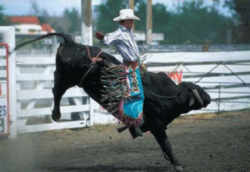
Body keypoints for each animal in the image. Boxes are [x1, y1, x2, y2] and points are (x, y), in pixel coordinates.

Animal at [14, 33, 211, 171]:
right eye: (200, 91)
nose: (209, 97)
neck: (169, 94)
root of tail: (73, 42)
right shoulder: (156, 125)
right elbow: (166, 144)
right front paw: (178, 164)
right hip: (66, 76)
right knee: (57, 90)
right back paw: (56, 114)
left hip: (68, 77)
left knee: (56, 88)